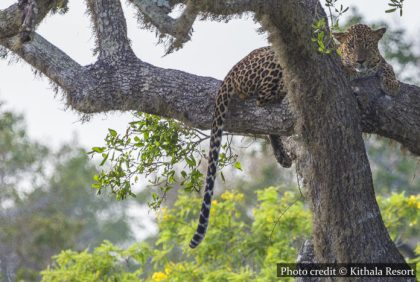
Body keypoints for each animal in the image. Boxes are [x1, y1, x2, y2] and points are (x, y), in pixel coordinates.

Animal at [189, 24, 398, 249]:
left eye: (367, 45)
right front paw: (354, 73)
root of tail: (235, 67)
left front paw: (392, 83)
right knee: (262, 98)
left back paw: (281, 154)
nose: (360, 60)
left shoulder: (377, 62)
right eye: (350, 46)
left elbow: (386, 65)